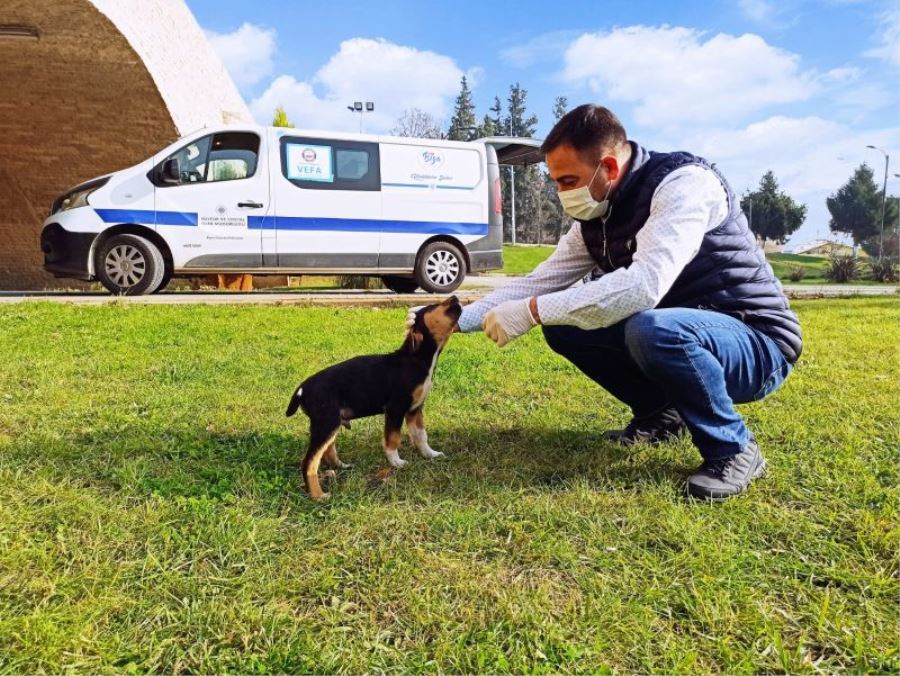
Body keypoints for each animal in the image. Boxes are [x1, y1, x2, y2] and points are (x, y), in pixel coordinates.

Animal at [284, 294, 460, 496]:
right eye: (433, 306)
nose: (455, 297)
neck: (416, 359)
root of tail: (302, 388)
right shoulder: (395, 409)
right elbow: (392, 439)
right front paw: (396, 462)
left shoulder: (415, 409)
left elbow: (421, 436)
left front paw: (430, 454)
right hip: (325, 423)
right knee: (309, 462)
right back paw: (318, 496)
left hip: (331, 424)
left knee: (327, 451)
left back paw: (341, 467)